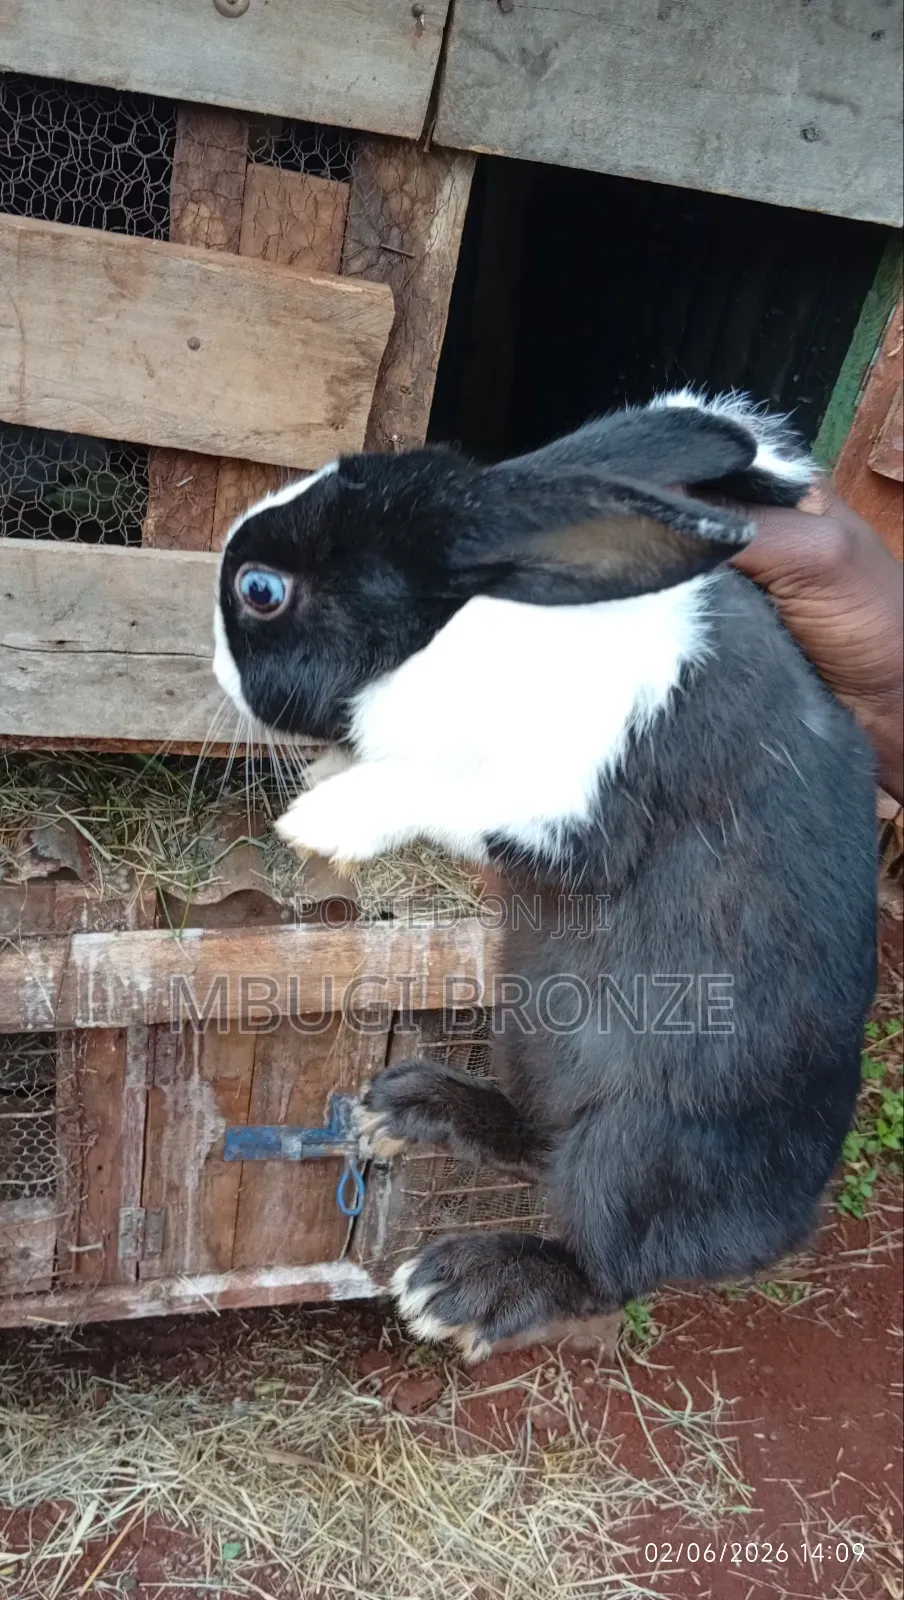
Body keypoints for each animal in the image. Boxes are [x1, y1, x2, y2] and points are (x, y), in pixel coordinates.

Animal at [213, 391, 878, 1361]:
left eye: (261, 592)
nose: (214, 667)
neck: (459, 630)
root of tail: (786, 1225)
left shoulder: (566, 809)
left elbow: (433, 785)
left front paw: (323, 816)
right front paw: (326, 777)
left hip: (633, 1147)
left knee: (608, 1264)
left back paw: (461, 1288)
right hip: (532, 1035)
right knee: (538, 1136)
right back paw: (412, 1106)